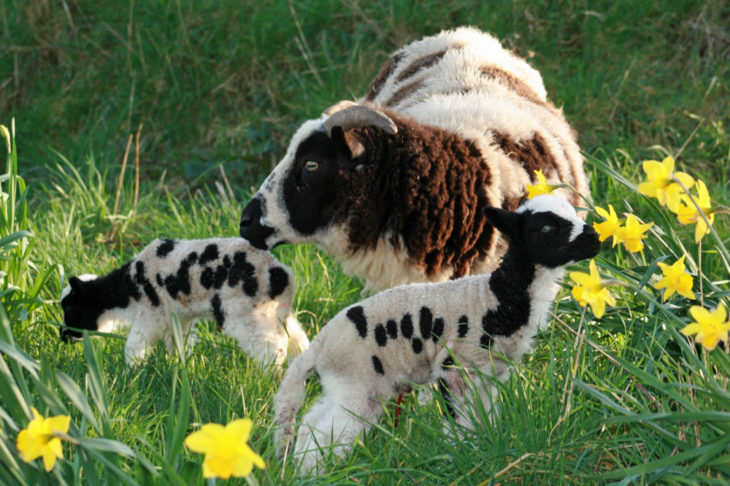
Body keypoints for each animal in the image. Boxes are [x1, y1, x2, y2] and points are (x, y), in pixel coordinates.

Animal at [58, 237, 306, 366]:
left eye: (71, 308)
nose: (62, 337)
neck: (127, 287)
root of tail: (281, 275)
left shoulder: (152, 312)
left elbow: (134, 345)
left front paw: (131, 372)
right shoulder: (180, 317)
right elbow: (178, 344)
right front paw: (178, 367)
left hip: (245, 312)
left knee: (271, 347)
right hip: (277, 313)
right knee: (297, 339)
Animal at [272, 194, 596, 470]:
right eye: (546, 227)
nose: (594, 238)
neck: (498, 297)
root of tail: (320, 344)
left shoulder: (492, 372)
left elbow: (486, 415)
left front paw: (486, 447)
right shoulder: (456, 367)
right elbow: (461, 420)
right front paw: (462, 455)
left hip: (343, 382)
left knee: (312, 424)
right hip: (358, 381)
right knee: (328, 431)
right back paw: (312, 472)